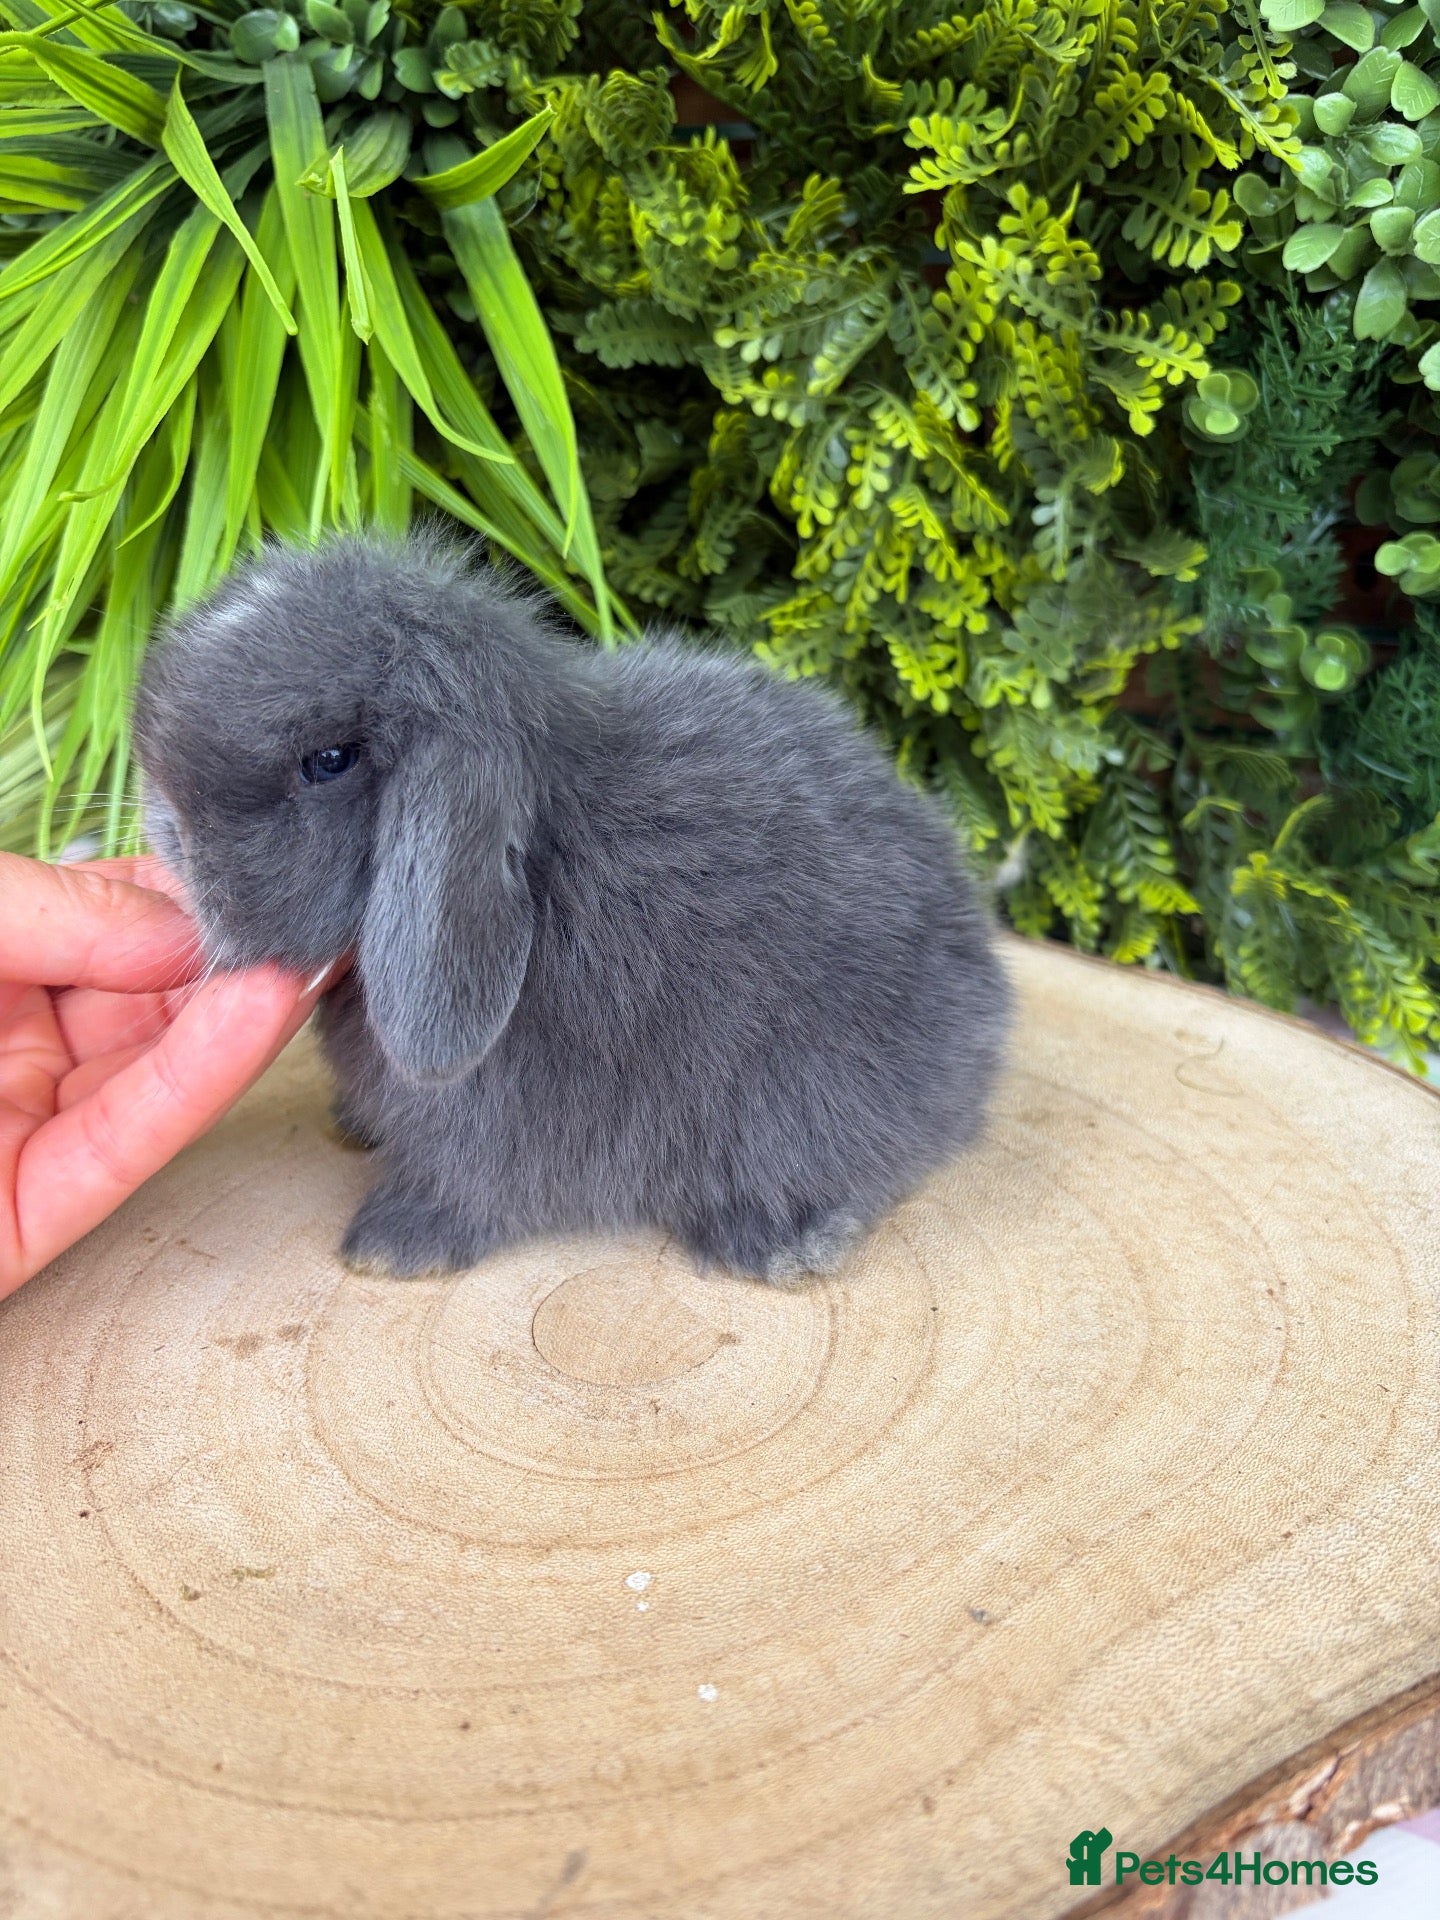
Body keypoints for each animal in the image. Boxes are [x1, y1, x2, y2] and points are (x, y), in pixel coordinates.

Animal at [133, 531, 1012, 1283]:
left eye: (329, 759)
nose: (166, 826)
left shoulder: (502, 1122)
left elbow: (469, 1183)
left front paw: (392, 1243)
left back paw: (783, 1240)